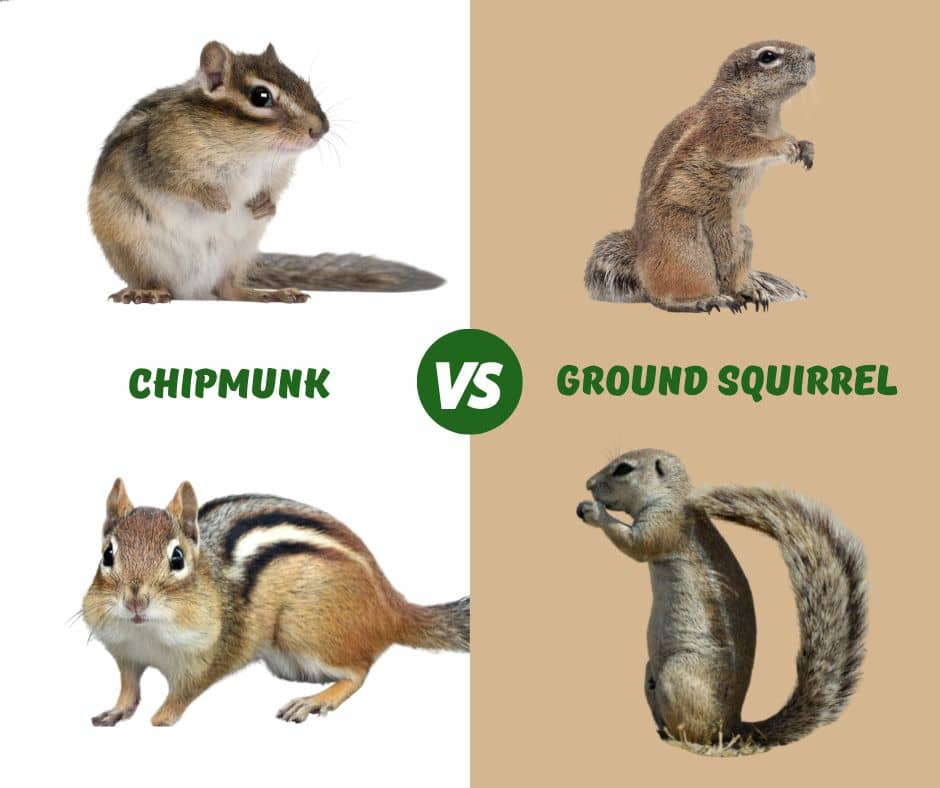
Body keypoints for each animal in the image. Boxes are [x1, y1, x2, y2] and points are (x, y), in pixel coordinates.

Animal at [82, 480, 469, 726]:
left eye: (177, 558)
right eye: (107, 555)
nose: (135, 601)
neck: (147, 635)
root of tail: (391, 604)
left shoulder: (208, 656)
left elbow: (181, 694)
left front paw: (160, 719)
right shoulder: (126, 654)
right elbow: (128, 687)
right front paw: (116, 710)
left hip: (305, 628)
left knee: (359, 671)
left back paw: (316, 700)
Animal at [89, 41, 444, 304]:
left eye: (305, 85)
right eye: (260, 96)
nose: (321, 129)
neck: (252, 152)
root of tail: (191, 289)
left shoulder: (276, 174)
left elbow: (272, 191)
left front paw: (265, 205)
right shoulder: (157, 157)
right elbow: (180, 185)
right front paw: (217, 201)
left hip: (237, 255)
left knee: (227, 289)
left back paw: (268, 293)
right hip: (136, 249)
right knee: (157, 281)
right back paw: (145, 291)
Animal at [575, 449, 867, 752]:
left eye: (623, 469)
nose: (588, 484)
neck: (671, 496)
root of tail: (731, 726)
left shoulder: (665, 524)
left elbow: (635, 544)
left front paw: (593, 511)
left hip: (677, 674)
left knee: (696, 733)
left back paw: (683, 742)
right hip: (650, 673)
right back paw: (663, 733)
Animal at [584, 42, 816, 313]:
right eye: (768, 56)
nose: (813, 55)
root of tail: (641, 258)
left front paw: (805, 147)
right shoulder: (723, 126)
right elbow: (741, 147)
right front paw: (784, 144)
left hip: (742, 236)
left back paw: (749, 290)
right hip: (686, 246)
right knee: (663, 296)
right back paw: (705, 299)